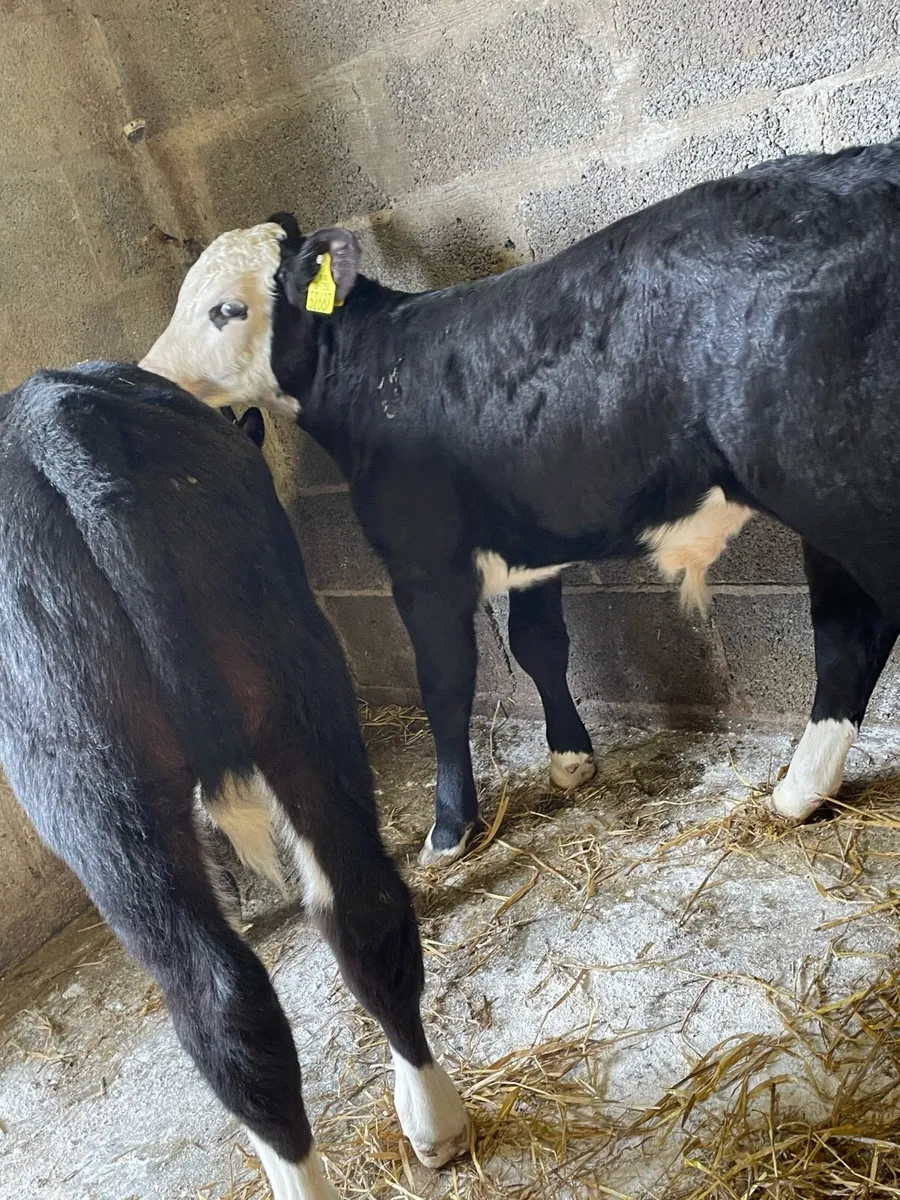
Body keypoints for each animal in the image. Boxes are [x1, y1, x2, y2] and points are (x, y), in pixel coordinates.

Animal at [0, 361, 469, 1200]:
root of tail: (62, 420)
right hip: (294, 677)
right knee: (361, 904)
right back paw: (433, 1121)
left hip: (84, 781)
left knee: (214, 999)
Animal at [141, 138, 900, 868]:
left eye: (227, 309)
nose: (147, 376)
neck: (376, 375)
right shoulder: (533, 536)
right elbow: (540, 645)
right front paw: (571, 760)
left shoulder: (424, 563)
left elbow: (446, 685)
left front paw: (449, 829)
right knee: (849, 629)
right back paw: (801, 791)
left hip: (834, 487)